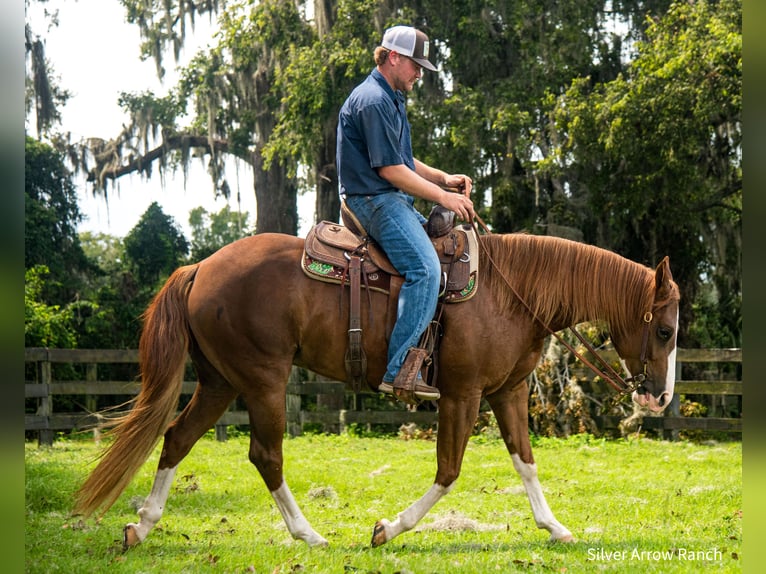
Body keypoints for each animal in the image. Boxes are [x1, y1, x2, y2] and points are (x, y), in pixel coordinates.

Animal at [75, 230, 680, 548]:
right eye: (666, 330)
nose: (660, 399)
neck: (512, 293)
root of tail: (201, 267)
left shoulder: (507, 394)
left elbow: (526, 463)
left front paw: (555, 526)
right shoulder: (462, 395)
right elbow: (449, 471)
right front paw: (389, 527)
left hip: (221, 382)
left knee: (177, 438)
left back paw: (142, 526)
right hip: (263, 380)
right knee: (266, 455)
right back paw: (308, 534)